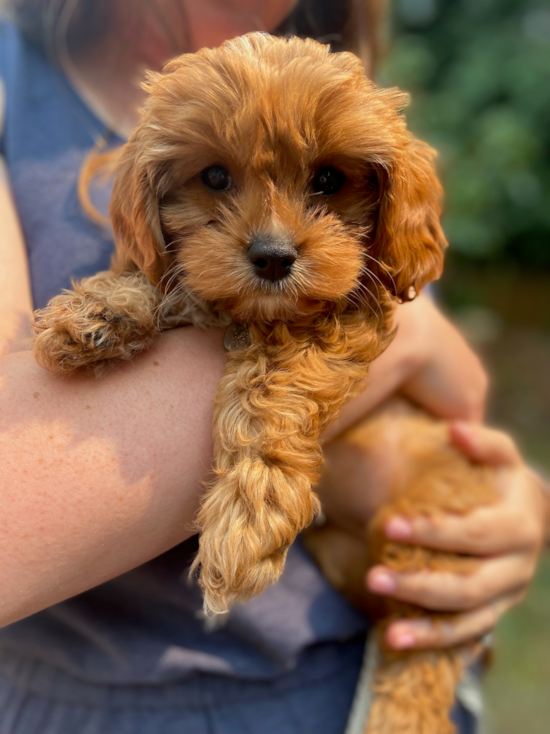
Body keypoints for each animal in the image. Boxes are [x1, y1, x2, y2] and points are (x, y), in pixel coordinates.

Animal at [31, 34, 500, 734]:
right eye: (214, 177)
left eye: (329, 179)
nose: (275, 258)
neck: (251, 316)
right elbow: (163, 277)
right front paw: (96, 312)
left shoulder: (342, 320)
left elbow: (273, 384)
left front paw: (248, 514)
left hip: (432, 537)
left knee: (423, 658)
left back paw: (397, 718)